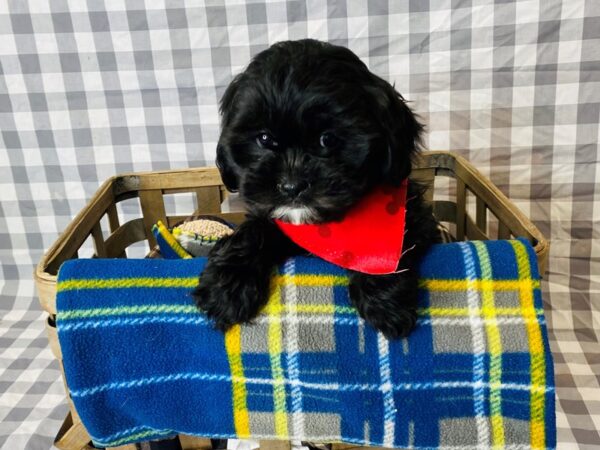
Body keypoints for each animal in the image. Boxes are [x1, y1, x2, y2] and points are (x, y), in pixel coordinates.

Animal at [193, 40, 440, 340]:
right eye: (264, 139)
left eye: (328, 139)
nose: (291, 186)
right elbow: (254, 229)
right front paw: (226, 287)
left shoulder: (415, 218)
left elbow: (396, 246)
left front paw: (385, 302)